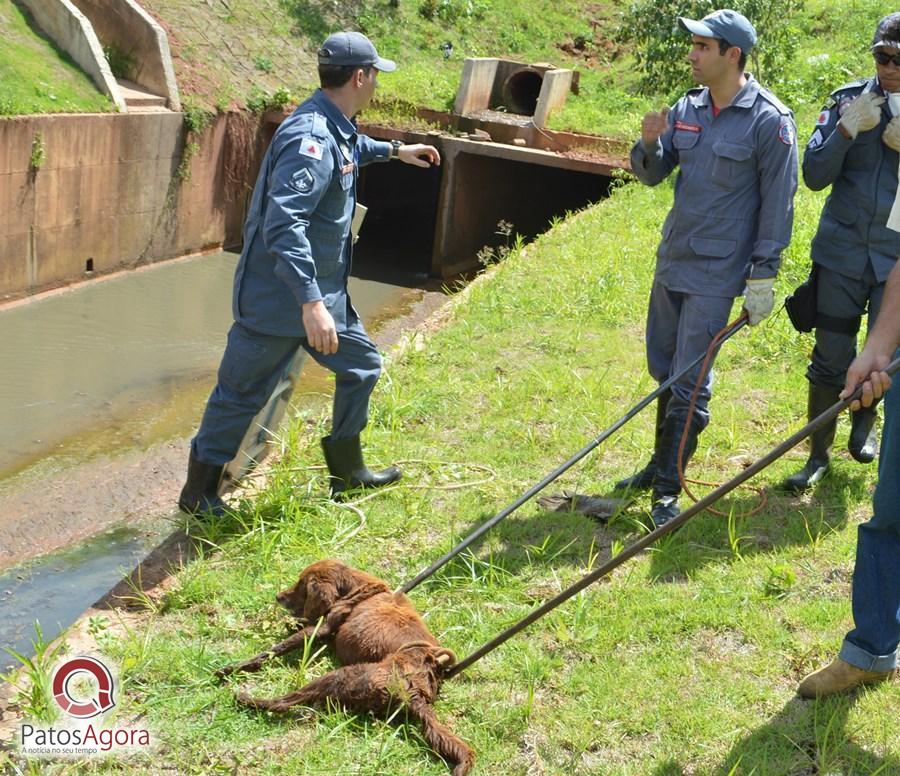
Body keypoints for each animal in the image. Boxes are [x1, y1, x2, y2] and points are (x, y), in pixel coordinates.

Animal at [218, 560, 474, 772]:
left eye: (301, 585)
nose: (277, 596)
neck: (357, 589)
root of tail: (414, 692)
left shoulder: (321, 628)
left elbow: (276, 648)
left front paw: (233, 668)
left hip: (340, 676)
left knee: (283, 703)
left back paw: (245, 698)